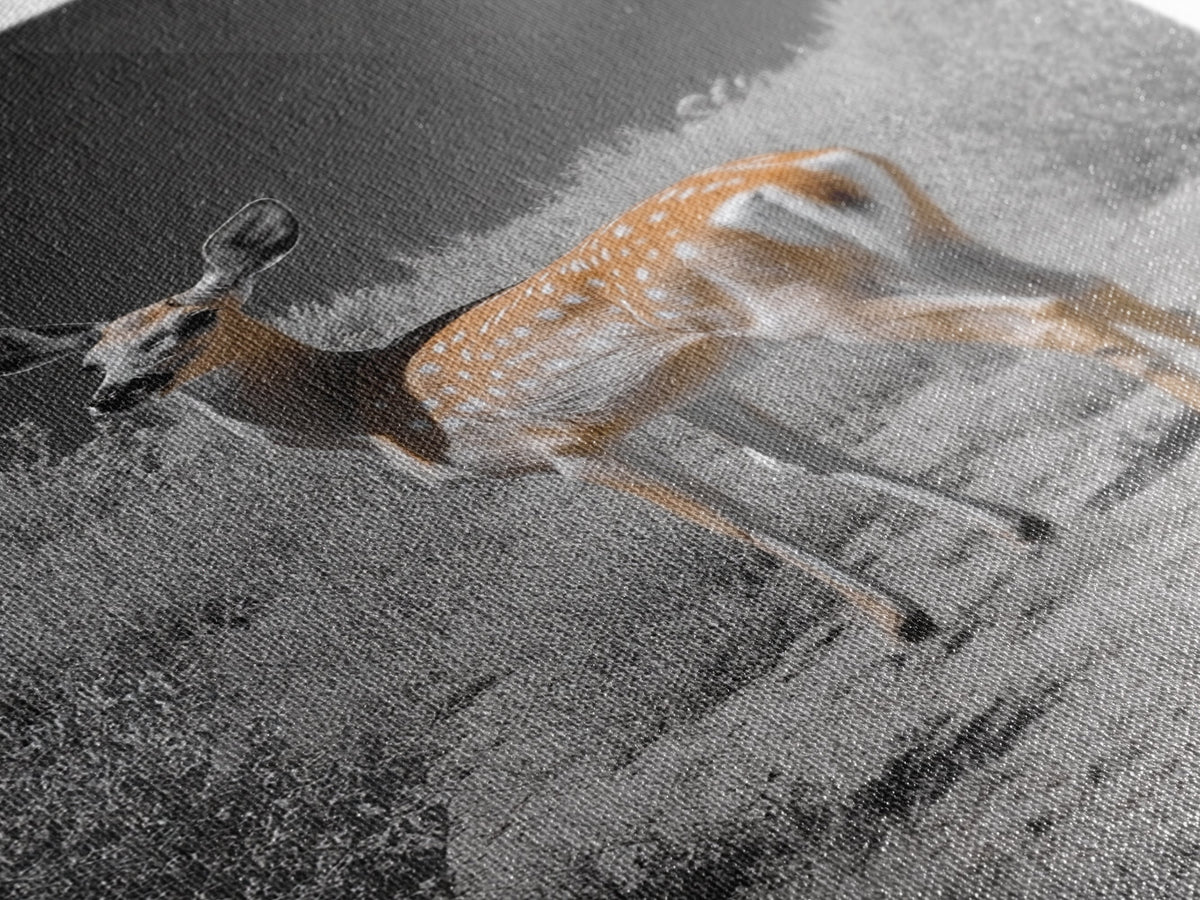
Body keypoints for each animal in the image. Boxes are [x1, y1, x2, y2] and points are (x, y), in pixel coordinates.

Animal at [6, 147, 1200, 642]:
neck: (380, 408)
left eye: (190, 321)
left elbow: (735, 521)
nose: (112, 400)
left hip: (805, 298)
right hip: (912, 243)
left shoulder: (566, 440)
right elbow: (800, 459)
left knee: (1052, 314)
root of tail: (826, 165)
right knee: (1086, 281)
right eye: (92, 361)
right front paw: (1019, 526)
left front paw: (902, 620)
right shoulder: (680, 388)